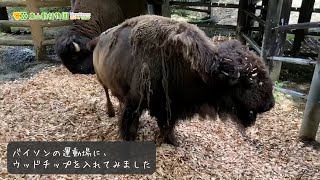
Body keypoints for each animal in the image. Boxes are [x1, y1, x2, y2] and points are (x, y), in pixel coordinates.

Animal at [90, 14, 276, 146]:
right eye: (249, 82)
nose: (270, 104)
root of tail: (99, 40)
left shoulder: (171, 106)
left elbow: (167, 125)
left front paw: (172, 141)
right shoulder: (135, 103)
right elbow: (129, 123)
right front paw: (129, 138)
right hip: (101, 80)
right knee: (107, 94)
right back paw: (110, 112)